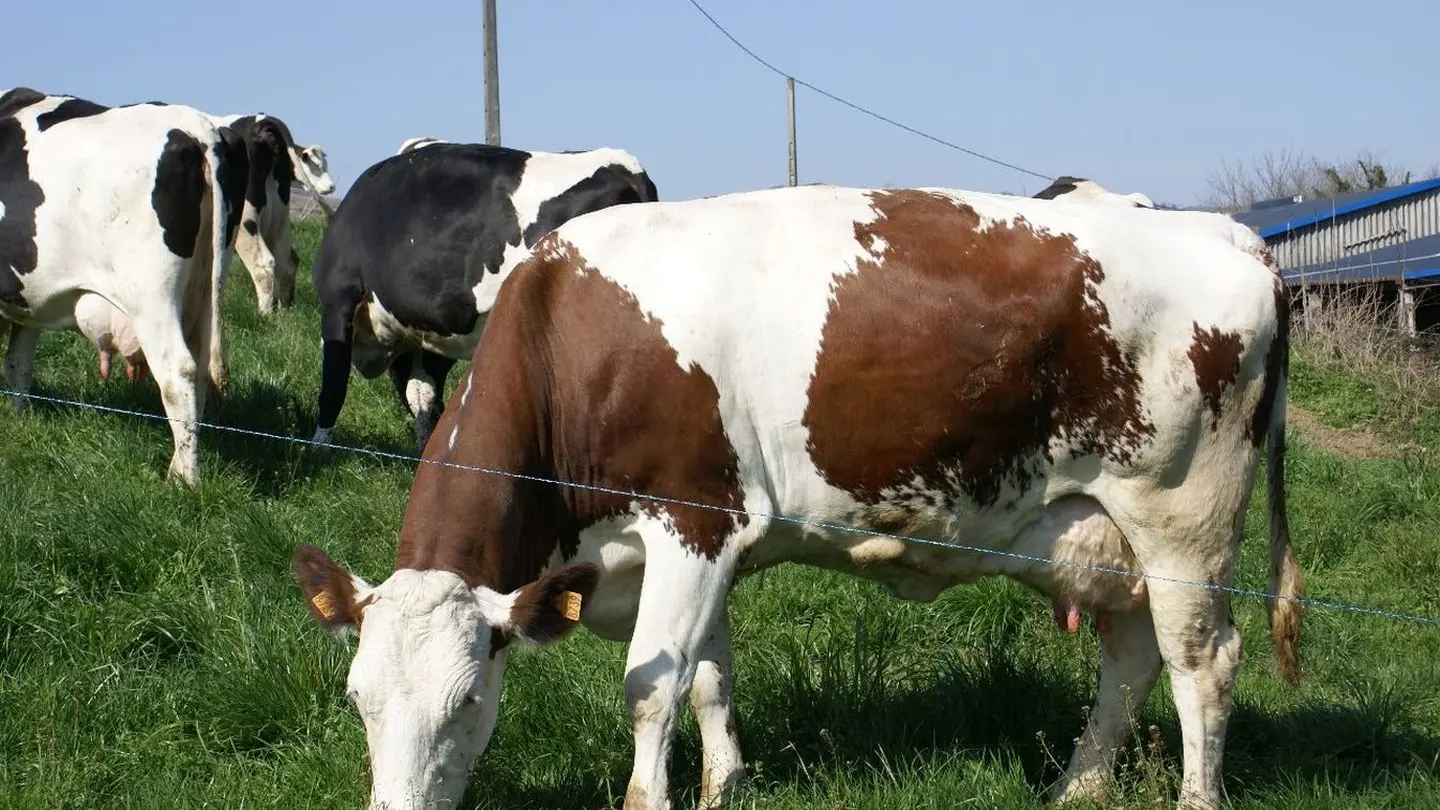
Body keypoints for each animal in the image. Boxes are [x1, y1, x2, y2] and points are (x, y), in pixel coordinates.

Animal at [0, 87, 244, 481]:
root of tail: (196, 125)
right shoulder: (28, 298)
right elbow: (18, 366)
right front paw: (19, 420)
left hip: (152, 298)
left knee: (179, 374)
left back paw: (184, 479)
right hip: (206, 293)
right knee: (202, 372)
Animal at [292, 184, 1307, 807]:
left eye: (468, 700)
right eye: (355, 698)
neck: (574, 340)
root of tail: (1231, 234)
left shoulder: (695, 517)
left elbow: (651, 690)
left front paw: (656, 795)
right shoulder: (698, 546)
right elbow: (707, 676)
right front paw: (725, 785)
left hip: (1182, 523)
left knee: (1202, 665)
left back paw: (1193, 795)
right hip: (1104, 530)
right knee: (1130, 660)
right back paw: (1075, 788)